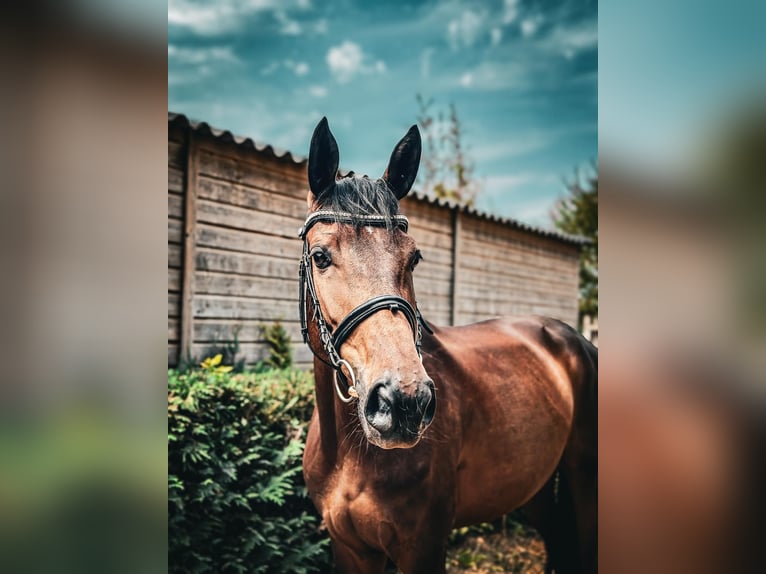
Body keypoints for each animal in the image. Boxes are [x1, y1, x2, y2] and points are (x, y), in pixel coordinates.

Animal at [300, 117, 597, 574]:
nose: (404, 402)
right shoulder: (349, 548)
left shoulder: (422, 546)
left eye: (414, 258)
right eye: (320, 256)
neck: (350, 454)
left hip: (585, 479)